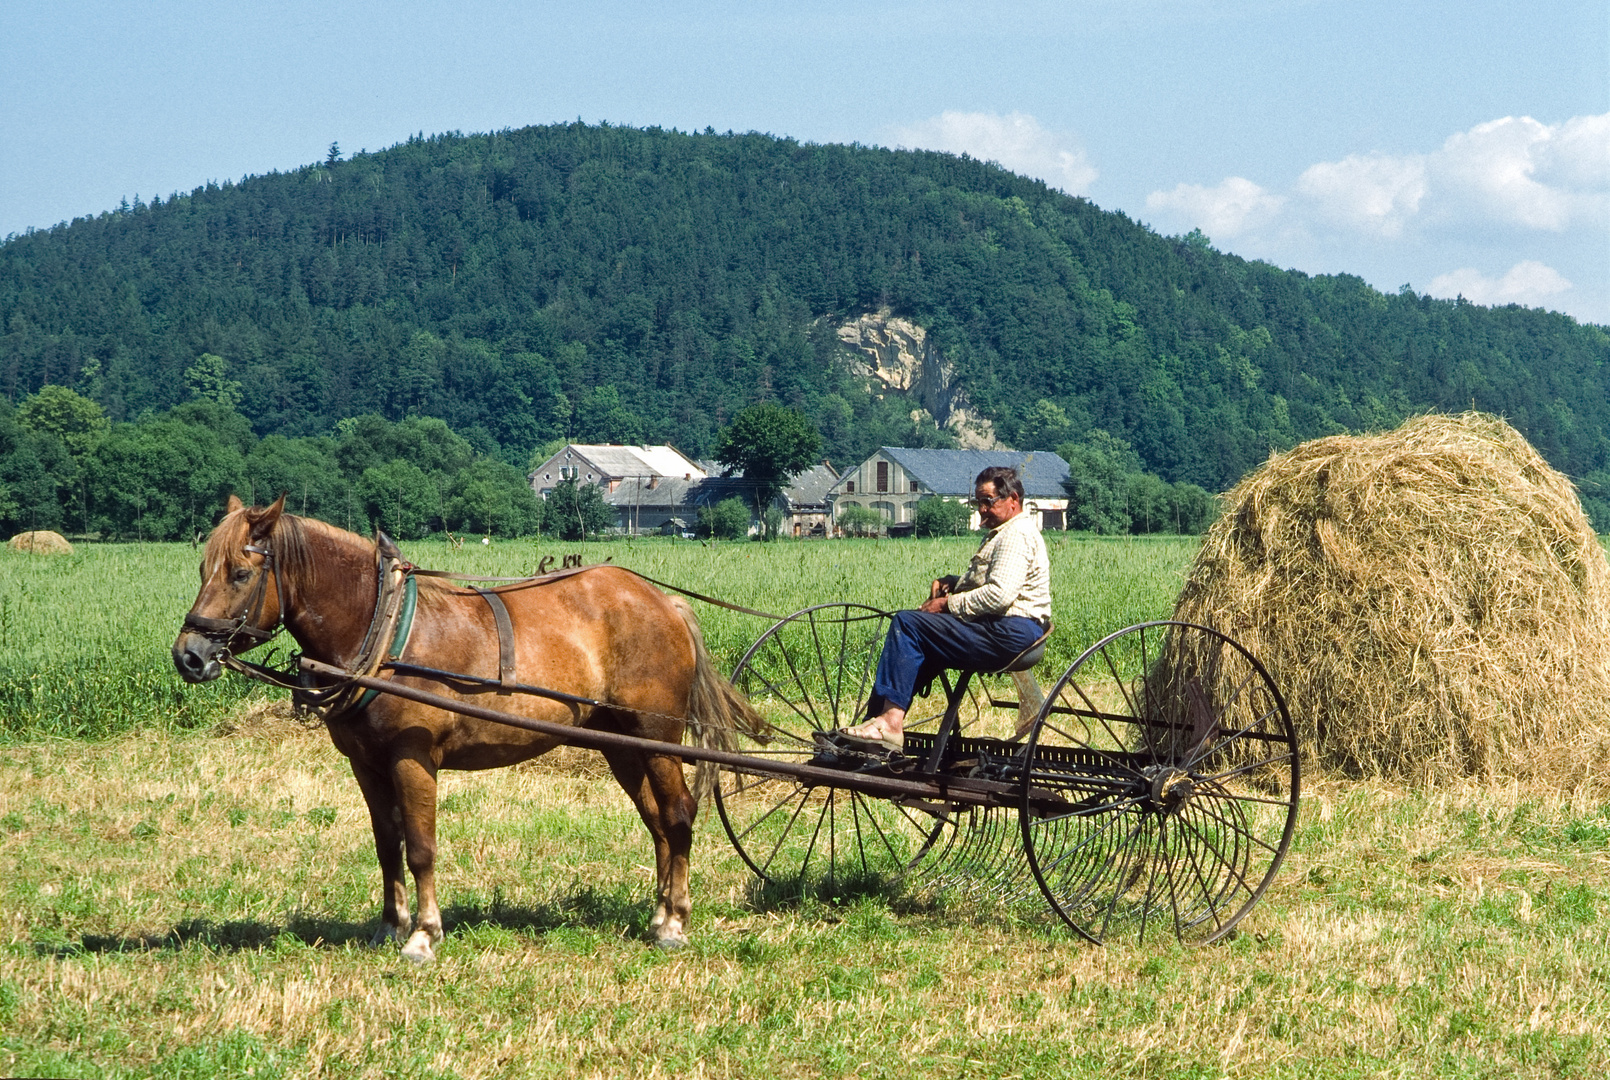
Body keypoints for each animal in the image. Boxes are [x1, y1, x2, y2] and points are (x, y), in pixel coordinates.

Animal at [169, 495, 759, 959]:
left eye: (240, 573)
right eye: (201, 571)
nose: (189, 656)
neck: (382, 631)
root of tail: (665, 602)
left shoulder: (413, 758)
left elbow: (420, 846)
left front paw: (424, 935)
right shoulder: (366, 764)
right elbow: (387, 845)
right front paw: (389, 927)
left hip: (657, 734)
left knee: (678, 815)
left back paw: (676, 922)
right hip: (620, 743)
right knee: (656, 821)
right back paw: (658, 915)